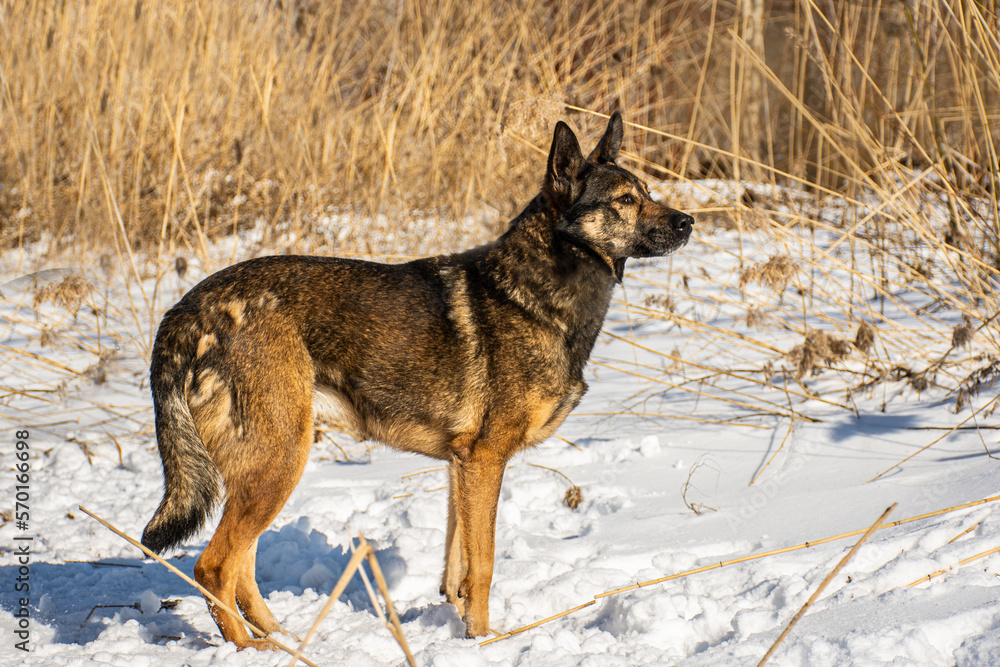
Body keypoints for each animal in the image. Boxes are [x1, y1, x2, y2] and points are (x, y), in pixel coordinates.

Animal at [143, 112, 696, 648]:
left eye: (647, 192)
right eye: (625, 200)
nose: (689, 221)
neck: (542, 289)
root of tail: (188, 309)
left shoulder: (461, 464)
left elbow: (457, 568)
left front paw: (462, 629)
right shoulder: (485, 460)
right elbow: (484, 566)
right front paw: (484, 642)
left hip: (267, 466)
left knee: (241, 569)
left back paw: (284, 641)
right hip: (276, 462)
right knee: (215, 567)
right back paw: (252, 649)